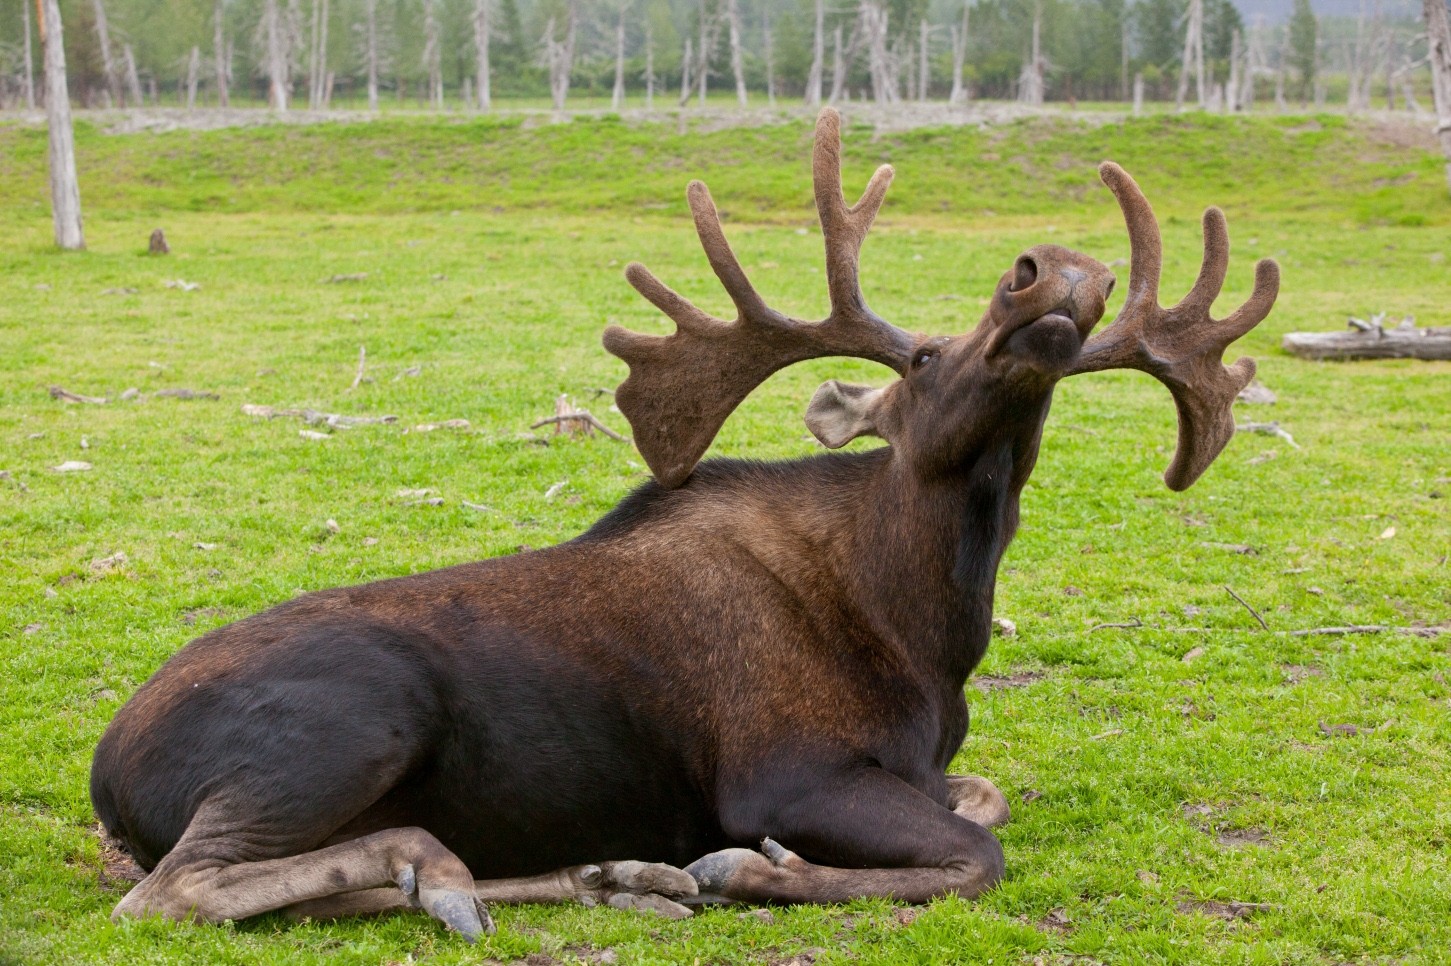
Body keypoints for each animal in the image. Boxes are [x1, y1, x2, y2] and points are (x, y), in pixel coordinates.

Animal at [90, 109, 1278, 942]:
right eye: (924, 357)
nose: (1052, 271)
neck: (927, 629)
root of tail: (105, 773)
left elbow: (985, 804)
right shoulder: (784, 771)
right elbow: (977, 857)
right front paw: (752, 867)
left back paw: (599, 875)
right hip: (347, 726)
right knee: (172, 893)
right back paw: (447, 866)